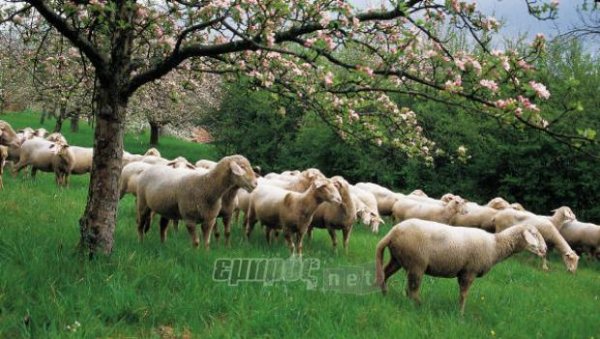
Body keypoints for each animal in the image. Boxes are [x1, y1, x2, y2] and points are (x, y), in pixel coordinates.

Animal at [376, 220, 548, 316]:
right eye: (534, 234)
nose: (545, 249)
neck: (495, 245)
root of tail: (392, 233)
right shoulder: (469, 272)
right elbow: (464, 295)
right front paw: (461, 314)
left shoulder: (463, 272)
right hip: (416, 263)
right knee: (412, 290)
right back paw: (420, 307)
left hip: (398, 258)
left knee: (385, 274)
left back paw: (385, 295)